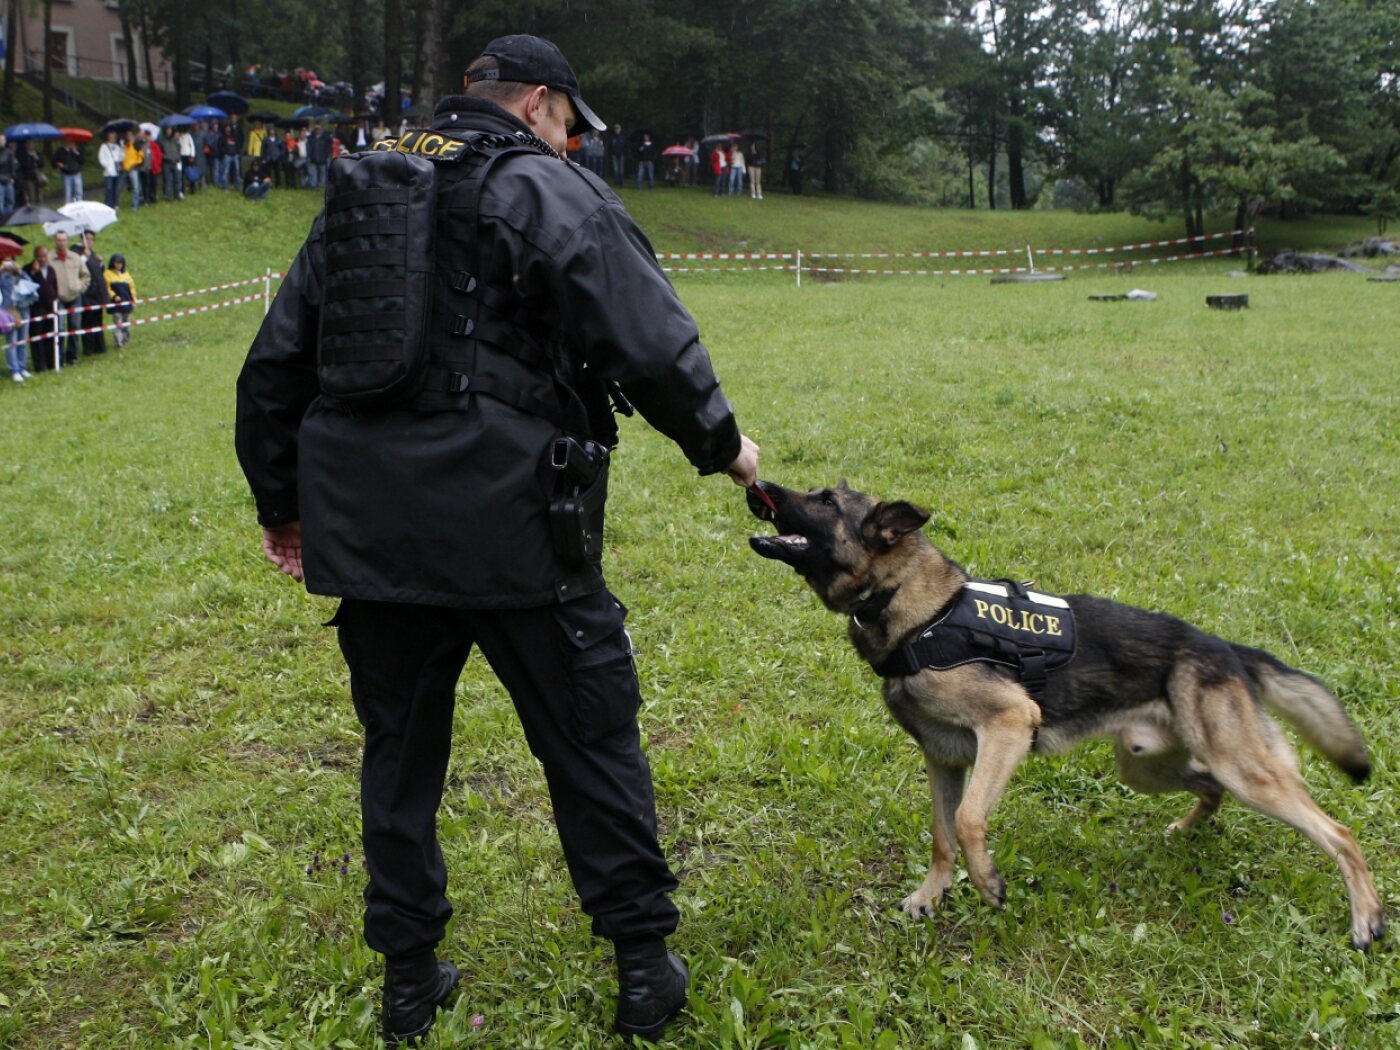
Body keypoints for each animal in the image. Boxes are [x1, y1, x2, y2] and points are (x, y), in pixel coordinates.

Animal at [750, 484, 1383, 952]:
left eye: (825, 499)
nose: (759, 485)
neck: (923, 611)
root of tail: (1226, 648)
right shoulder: (944, 758)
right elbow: (941, 835)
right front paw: (932, 894)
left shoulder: (1008, 726)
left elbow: (969, 821)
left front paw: (988, 883)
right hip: (1146, 766)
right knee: (1209, 787)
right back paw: (1185, 830)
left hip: (1244, 770)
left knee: (1340, 833)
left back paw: (1367, 919)